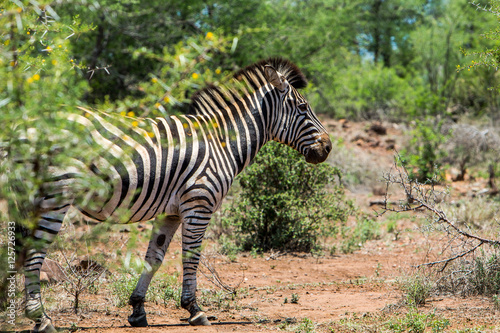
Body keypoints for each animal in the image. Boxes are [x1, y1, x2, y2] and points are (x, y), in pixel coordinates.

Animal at [13, 58, 332, 330]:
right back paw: (41, 318)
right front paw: (194, 310)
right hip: (54, 196)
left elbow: (153, 258)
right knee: (34, 253)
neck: (222, 142)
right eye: (302, 107)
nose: (328, 147)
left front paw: (137, 310)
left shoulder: (171, 212)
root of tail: (24, 125)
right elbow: (191, 257)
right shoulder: (199, 204)